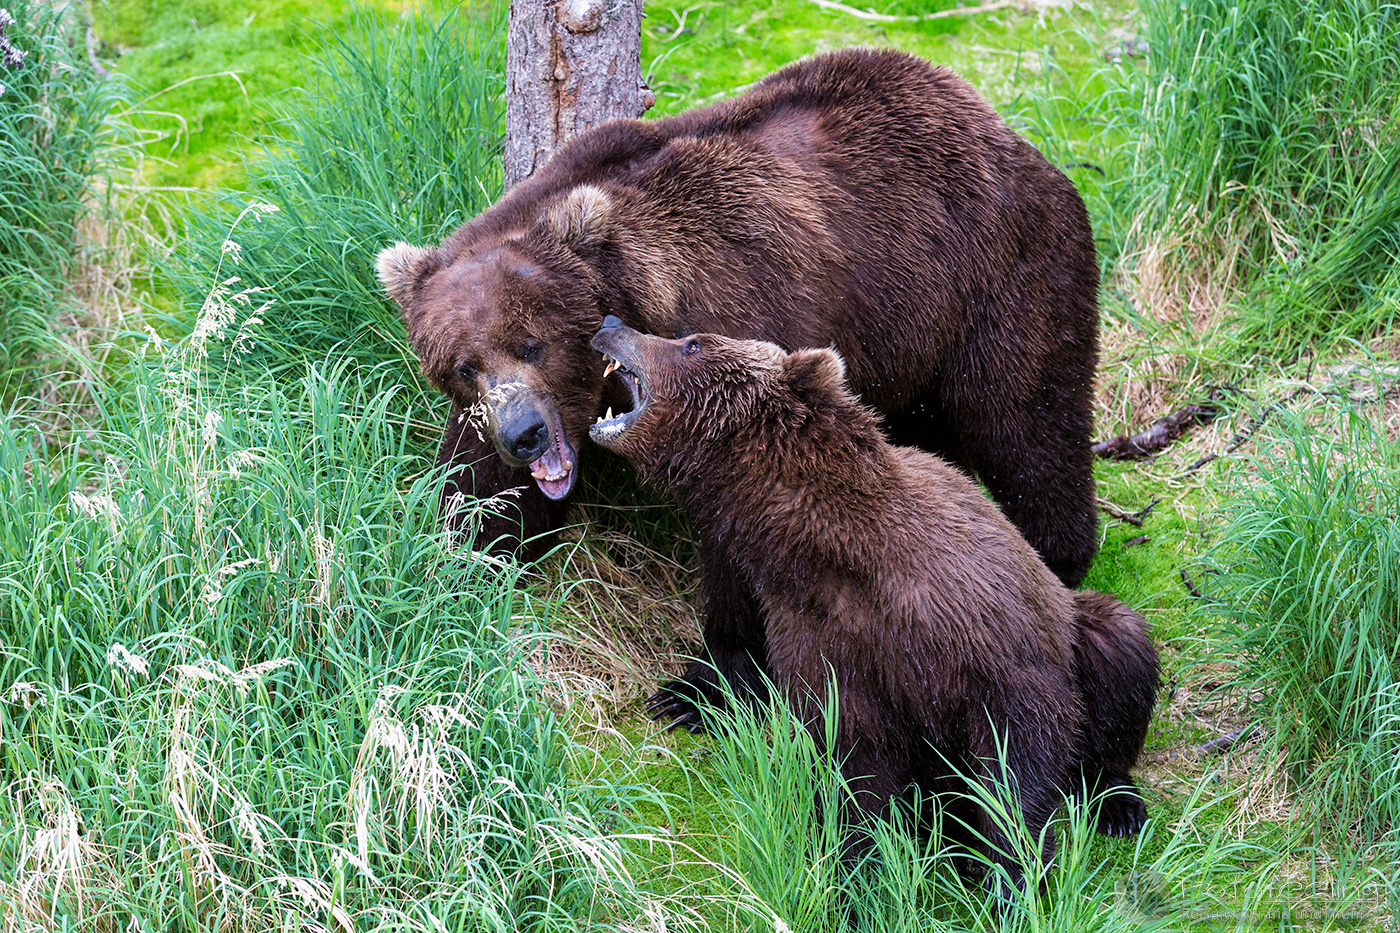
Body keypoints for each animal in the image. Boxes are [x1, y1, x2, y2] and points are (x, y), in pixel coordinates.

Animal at [375, 47, 1103, 731]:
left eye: (533, 342)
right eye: (463, 364)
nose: (524, 434)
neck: (637, 295)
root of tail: (996, 125)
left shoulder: (739, 344)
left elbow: (753, 533)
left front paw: (699, 686)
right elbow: (478, 499)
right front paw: (450, 573)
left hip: (994, 280)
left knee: (1026, 424)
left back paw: (1053, 561)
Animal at [587, 317, 1159, 893]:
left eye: (692, 343)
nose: (610, 326)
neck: (835, 553)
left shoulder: (968, 614)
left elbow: (1023, 733)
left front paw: (1010, 870)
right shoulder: (825, 644)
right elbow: (857, 764)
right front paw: (859, 871)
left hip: (1072, 623)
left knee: (1118, 648)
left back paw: (1116, 802)